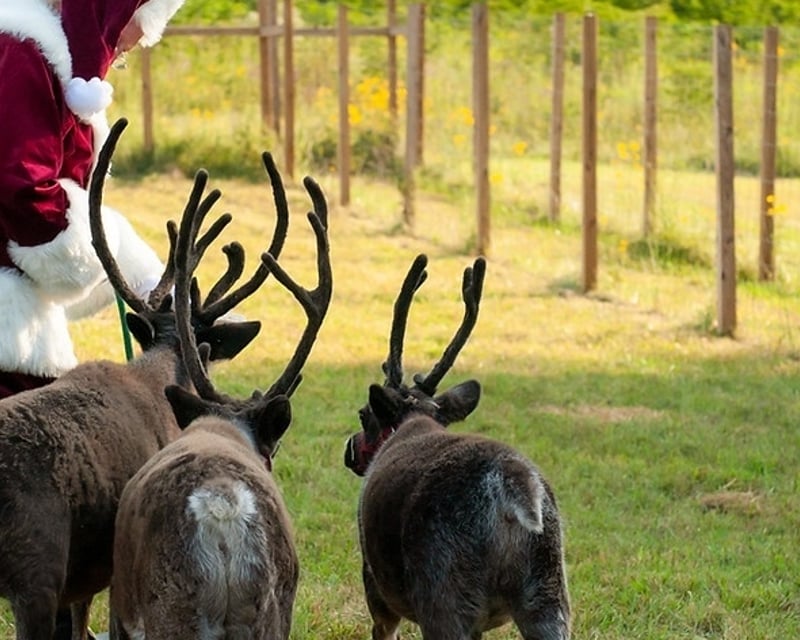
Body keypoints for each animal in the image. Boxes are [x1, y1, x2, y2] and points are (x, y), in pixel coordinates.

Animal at [343, 254, 571, 640]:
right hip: (547, 598)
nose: (349, 450)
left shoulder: (376, 587)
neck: (413, 418)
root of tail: (510, 486)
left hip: (444, 596)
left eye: (363, 414)